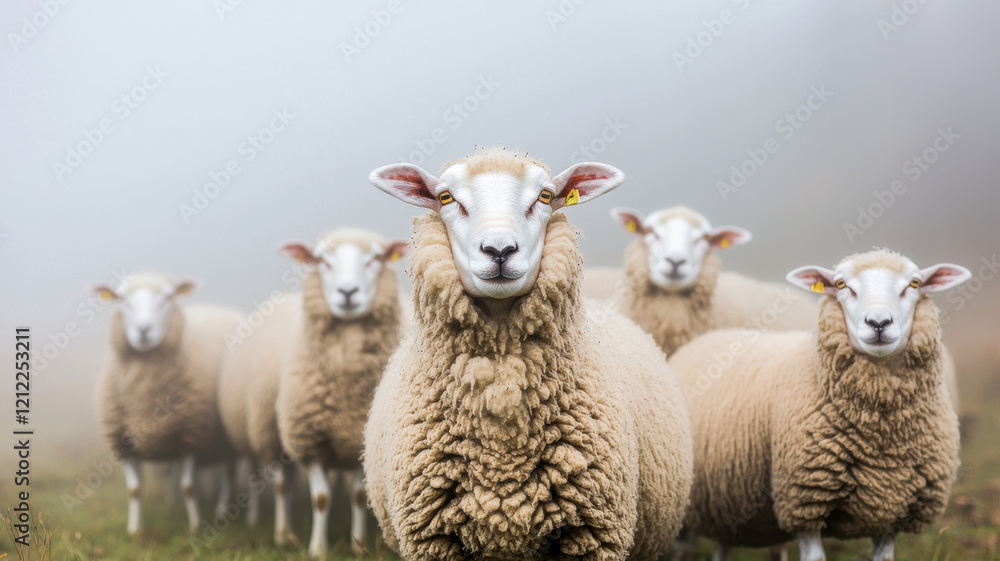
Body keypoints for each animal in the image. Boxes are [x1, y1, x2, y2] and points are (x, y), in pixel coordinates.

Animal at [94, 272, 241, 535]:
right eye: (123, 300)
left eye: (167, 298)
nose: (144, 330)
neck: (144, 396)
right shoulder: (123, 441)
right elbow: (134, 490)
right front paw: (135, 531)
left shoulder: (190, 436)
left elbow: (188, 487)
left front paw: (194, 526)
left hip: (228, 439)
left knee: (228, 476)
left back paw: (222, 510)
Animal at [274, 228, 409, 558]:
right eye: (321, 261)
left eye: (375, 259)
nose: (348, 292)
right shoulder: (310, 442)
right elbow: (321, 498)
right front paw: (317, 549)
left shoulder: (359, 440)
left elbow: (359, 495)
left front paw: (359, 546)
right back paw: (283, 535)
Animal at [667, 249, 970, 561]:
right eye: (840, 284)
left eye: (914, 283)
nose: (878, 323)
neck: (880, 435)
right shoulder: (805, 500)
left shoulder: (894, 511)